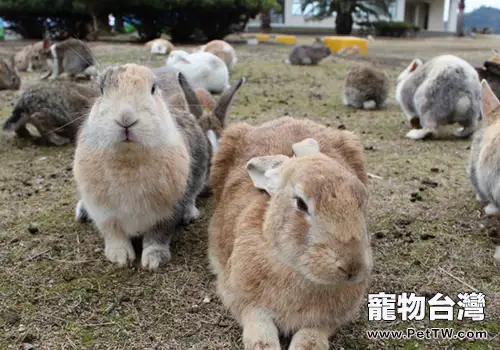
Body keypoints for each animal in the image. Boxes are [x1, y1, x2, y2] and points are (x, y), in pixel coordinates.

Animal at [72, 64, 209, 270]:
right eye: (101, 90)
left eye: (153, 89)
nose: (126, 118)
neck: (128, 159)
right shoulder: (105, 214)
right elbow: (114, 235)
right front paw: (119, 257)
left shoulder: (167, 213)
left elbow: (157, 237)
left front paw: (154, 260)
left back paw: (189, 213)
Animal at [207, 117, 372, 350]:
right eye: (301, 204)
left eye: (362, 198)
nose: (352, 267)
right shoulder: (243, 299)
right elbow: (260, 329)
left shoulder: (327, 320)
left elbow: (311, 338)